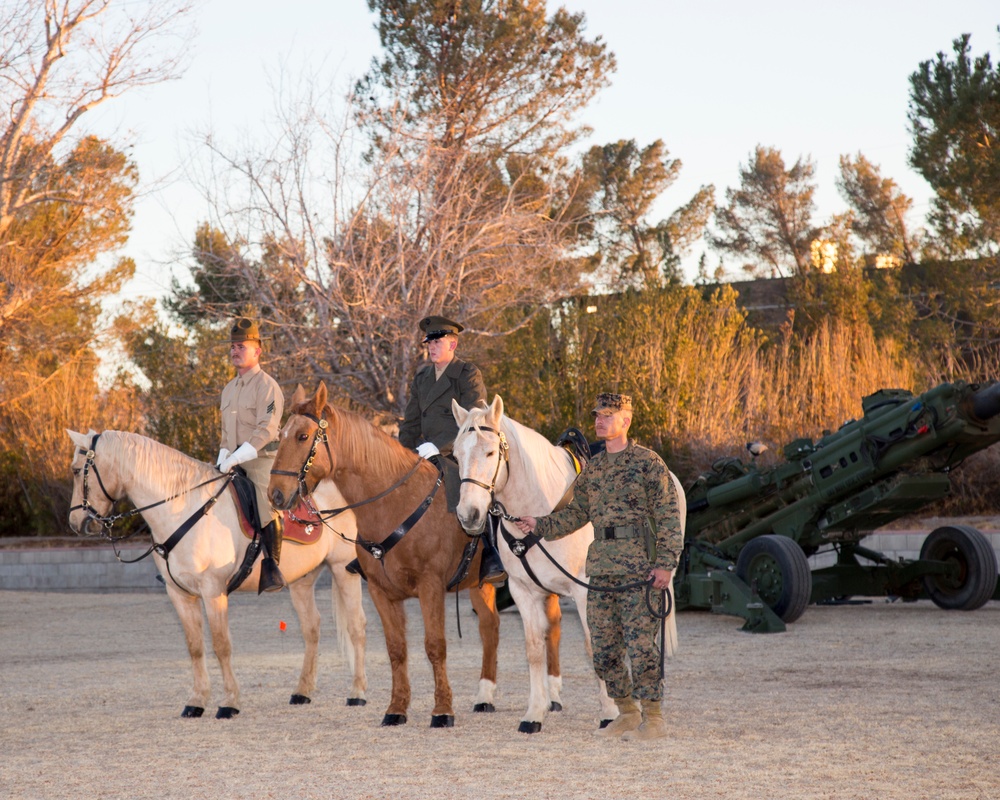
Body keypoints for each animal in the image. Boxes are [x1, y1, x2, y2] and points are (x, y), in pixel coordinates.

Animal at [68, 432, 370, 720]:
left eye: (76, 470)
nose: (75, 523)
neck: (185, 508)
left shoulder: (213, 591)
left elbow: (221, 646)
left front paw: (229, 703)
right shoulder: (180, 595)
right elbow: (195, 647)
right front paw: (196, 702)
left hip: (343, 569)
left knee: (356, 626)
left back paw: (357, 693)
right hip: (301, 580)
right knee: (311, 628)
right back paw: (302, 691)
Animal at [266, 384, 500, 728]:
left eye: (302, 436)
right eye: (281, 435)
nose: (276, 494)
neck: (396, 503)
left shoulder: (430, 587)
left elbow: (435, 646)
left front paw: (442, 710)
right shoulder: (381, 591)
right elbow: (396, 649)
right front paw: (396, 708)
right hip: (478, 584)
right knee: (490, 627)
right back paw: (485, 697)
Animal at [454, 396, 688, 736]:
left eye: (490, 452)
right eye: (456, 455)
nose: (469, 515)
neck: (541, 507)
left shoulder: (585, 591)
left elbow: (595, 647)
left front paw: (609, 712)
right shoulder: (523, 592)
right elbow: (535, 649)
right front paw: (534, 713)